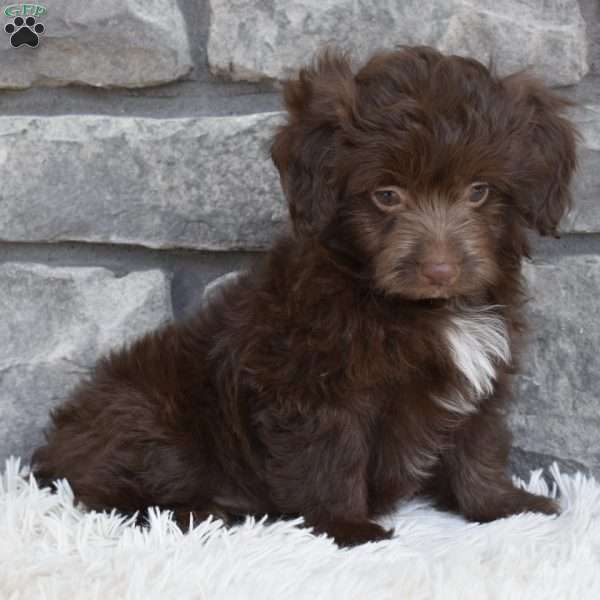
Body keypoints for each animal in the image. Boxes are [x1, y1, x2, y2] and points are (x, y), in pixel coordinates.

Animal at [31, 45, 576, 544]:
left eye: (479, 191)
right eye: (386, 195)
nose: (440, 270)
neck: (419, 307)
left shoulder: (482, 374)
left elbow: (478, 445)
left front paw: (504, 506)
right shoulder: (314, 386)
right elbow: (332, 457)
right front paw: (349, 529)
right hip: (150, 423)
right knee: (108, 497)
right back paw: (200, 514)